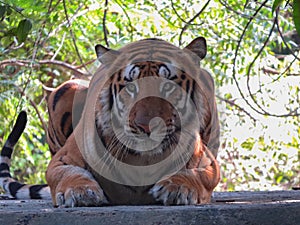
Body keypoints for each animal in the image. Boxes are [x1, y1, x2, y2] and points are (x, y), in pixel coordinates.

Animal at [0, 37, 220, 207]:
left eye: (167, 86)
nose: (146, 126)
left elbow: (199, 175)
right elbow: (67, 172)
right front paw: (81, 191)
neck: (144, 160)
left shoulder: (208, 162)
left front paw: (177, 187)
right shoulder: (62, 159)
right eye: (131, 87)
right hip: (66, 88)